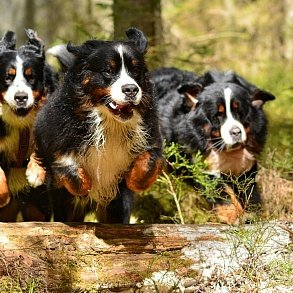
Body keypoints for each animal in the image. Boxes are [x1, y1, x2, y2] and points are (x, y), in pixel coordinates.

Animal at [26, 28, 163, 224]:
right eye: (108, 71)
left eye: (135, 70)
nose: (131, 89)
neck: (110, 124)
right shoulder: (58, 141)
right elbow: (70, 170)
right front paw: (86, 186)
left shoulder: (151, 138)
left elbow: (150, 161)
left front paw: (134, 180)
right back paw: (35, 174)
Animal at [151, 67, 274, 222]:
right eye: (218, 115)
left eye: (239, 112)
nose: (236, 132)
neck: (225, 151)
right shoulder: (201, 165)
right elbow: (221, 191)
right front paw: (234, 215)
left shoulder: (247, 166)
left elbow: (249, 192)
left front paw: (253, 214)